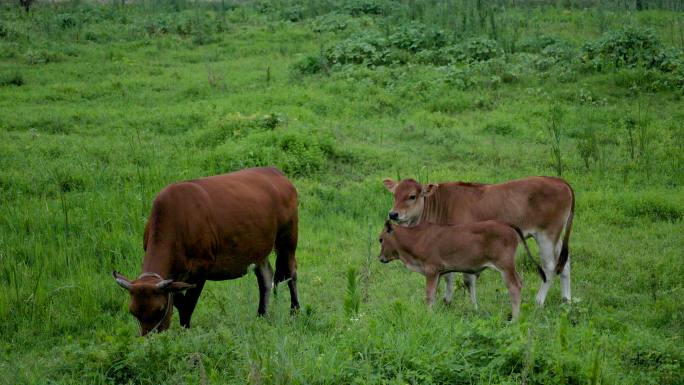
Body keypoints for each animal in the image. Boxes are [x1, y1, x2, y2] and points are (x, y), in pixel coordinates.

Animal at [113, 166, 300, 334]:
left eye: (159, 309)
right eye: (133, 312)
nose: (149, 339)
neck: (177, 221)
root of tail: (277, 173)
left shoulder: (201, 269)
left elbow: (187, 306)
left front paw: (185, 331)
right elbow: (179, 300)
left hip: (288, 241)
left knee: (291, 273)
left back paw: (294, 311)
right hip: (259, 251)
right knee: (266, 278)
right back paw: (261, 315)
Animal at [376, 219, 548, 318]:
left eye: (380, 239)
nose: (380, 258)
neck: (416, 238)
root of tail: (507, 225)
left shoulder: (431, 270)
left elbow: (429, 296)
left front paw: (429, 315)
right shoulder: (438, 273)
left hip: (505, 266)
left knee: (514, 286)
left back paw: (515, 318)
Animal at [384, 176, 572, 306]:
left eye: (412, 196)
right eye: (394, 195)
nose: (393, 214)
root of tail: (558, 180)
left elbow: (467, 279)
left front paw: (472, 306)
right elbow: (448, 276)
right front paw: (447, 301)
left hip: (546, 235)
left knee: (549, 267)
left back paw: (539, 301)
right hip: (557, 238)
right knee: (565, 264)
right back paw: (566, 300)